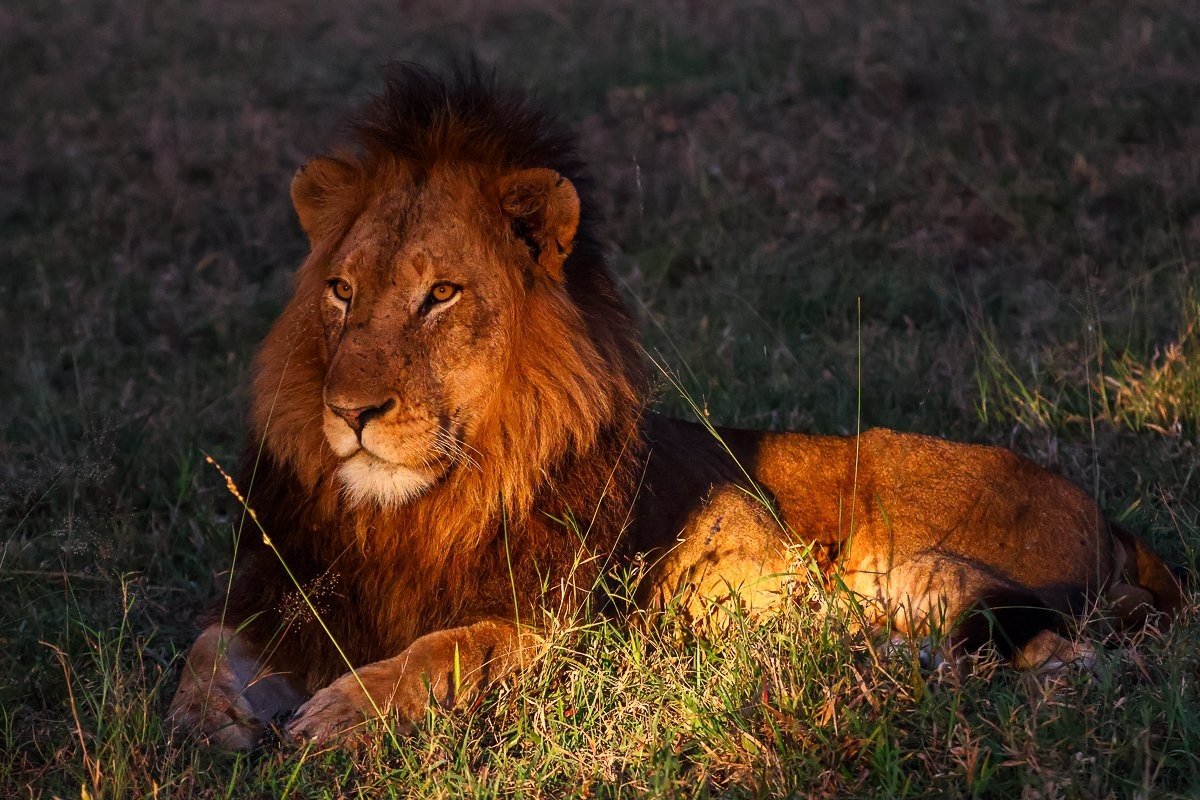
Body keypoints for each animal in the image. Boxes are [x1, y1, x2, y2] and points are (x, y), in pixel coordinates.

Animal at [169, 64, 1183, 750]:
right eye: (340, 291)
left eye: (440, 296)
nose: (350, 412)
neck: (411, 513)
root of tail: (1110, 520)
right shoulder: (283, 597)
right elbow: (204, 650)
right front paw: (199, 725)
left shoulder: (568, 631)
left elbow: (449, 650)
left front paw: (338, 713)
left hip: (920, 565)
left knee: (1071, 657)